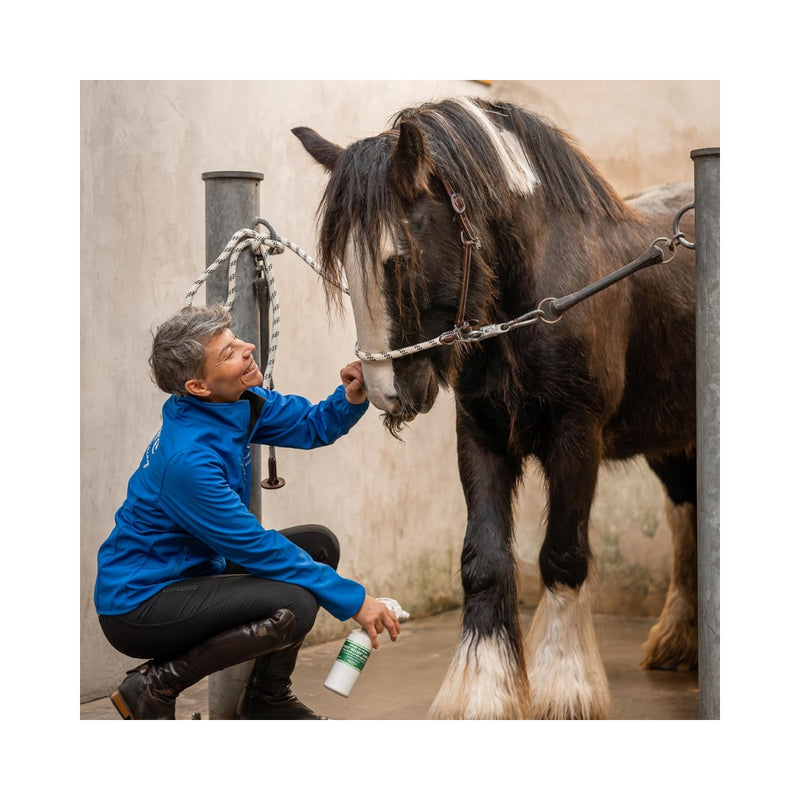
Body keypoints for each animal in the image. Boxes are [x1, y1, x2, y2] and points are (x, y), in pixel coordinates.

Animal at [290, 95, 696, 720]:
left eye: (398, 260)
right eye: (346, 271)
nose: (384, 392)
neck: (538, 301)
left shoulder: (576, 437)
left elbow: (562, 555)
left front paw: (565, 688)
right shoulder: (481, 435)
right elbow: (483, 562)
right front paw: (481, 691)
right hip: (669, 439)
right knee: (684, 513)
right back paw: (676, 640)